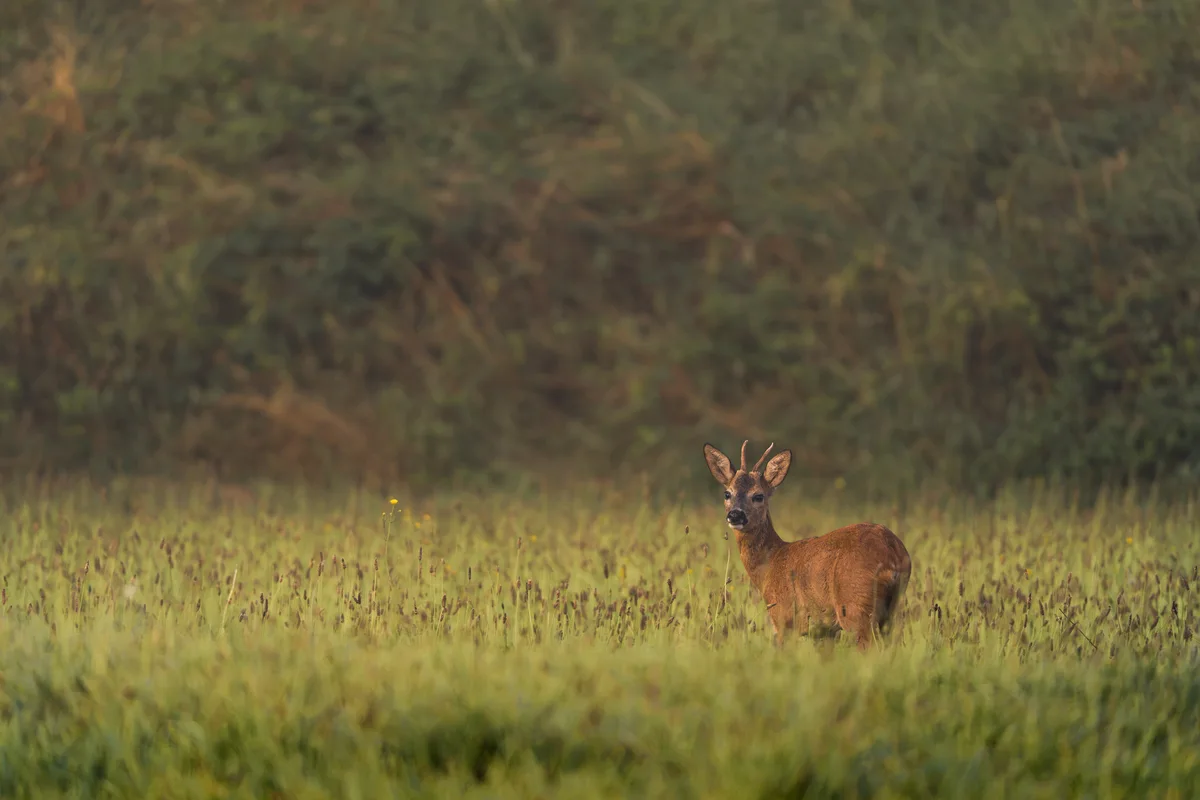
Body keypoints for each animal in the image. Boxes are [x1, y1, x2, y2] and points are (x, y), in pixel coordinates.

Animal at [702, 440, 912, 651]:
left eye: (758, 496)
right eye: (727, 493)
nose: (735, 515)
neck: (770, 564)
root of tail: (892, 552)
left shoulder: (784, 618)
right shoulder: (825, 631)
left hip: (856, 605)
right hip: (891, 608)